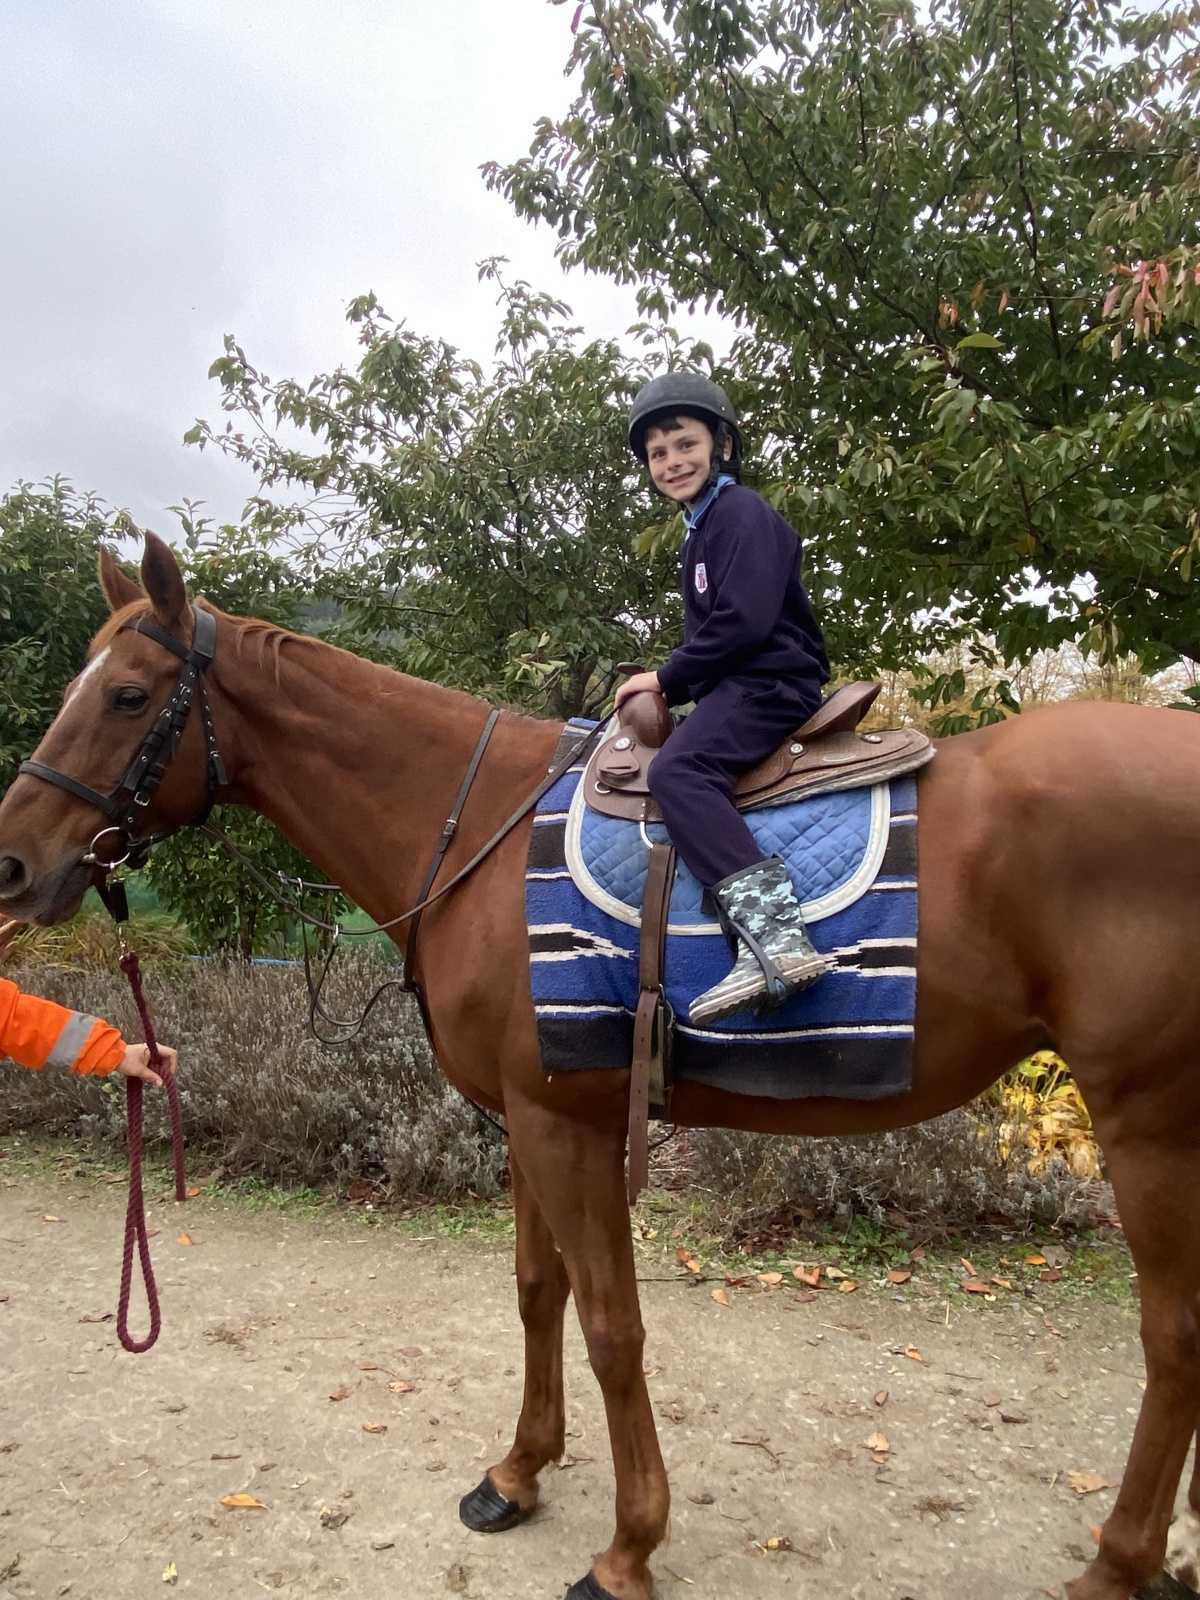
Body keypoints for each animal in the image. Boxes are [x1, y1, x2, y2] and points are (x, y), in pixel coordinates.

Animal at [0, 530, 1198, 1600]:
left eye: (129, 696)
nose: (12, 862)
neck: (476, 820)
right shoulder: (533, 1117)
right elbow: (540, 1294)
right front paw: (519, 1472)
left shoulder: (565, 1126)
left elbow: (613, 1327)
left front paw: (628, 1548)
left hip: (1149, 1123)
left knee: (1173, 1339)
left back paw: (1119, 1563)